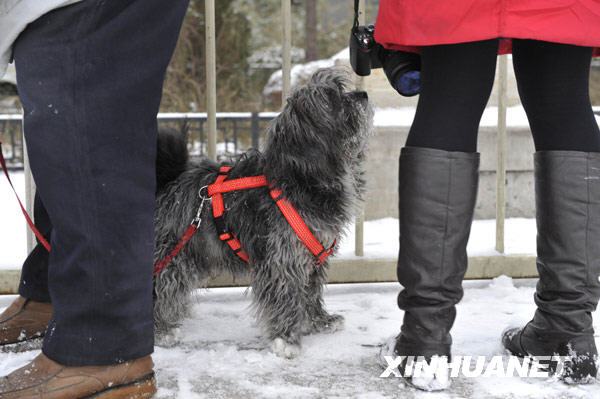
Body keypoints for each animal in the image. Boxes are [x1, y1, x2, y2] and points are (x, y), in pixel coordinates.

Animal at [152, 67, 372, 358]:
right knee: (159, 287)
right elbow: (287, 295)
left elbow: (311, 291)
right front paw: (286, 339)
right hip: (172, 255)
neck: (301, 178)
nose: (363, 94)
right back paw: (161, 329)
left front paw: (319, 321)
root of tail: (166, 180)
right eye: (332, 99)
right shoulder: (284, 256)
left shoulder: (313, 257)